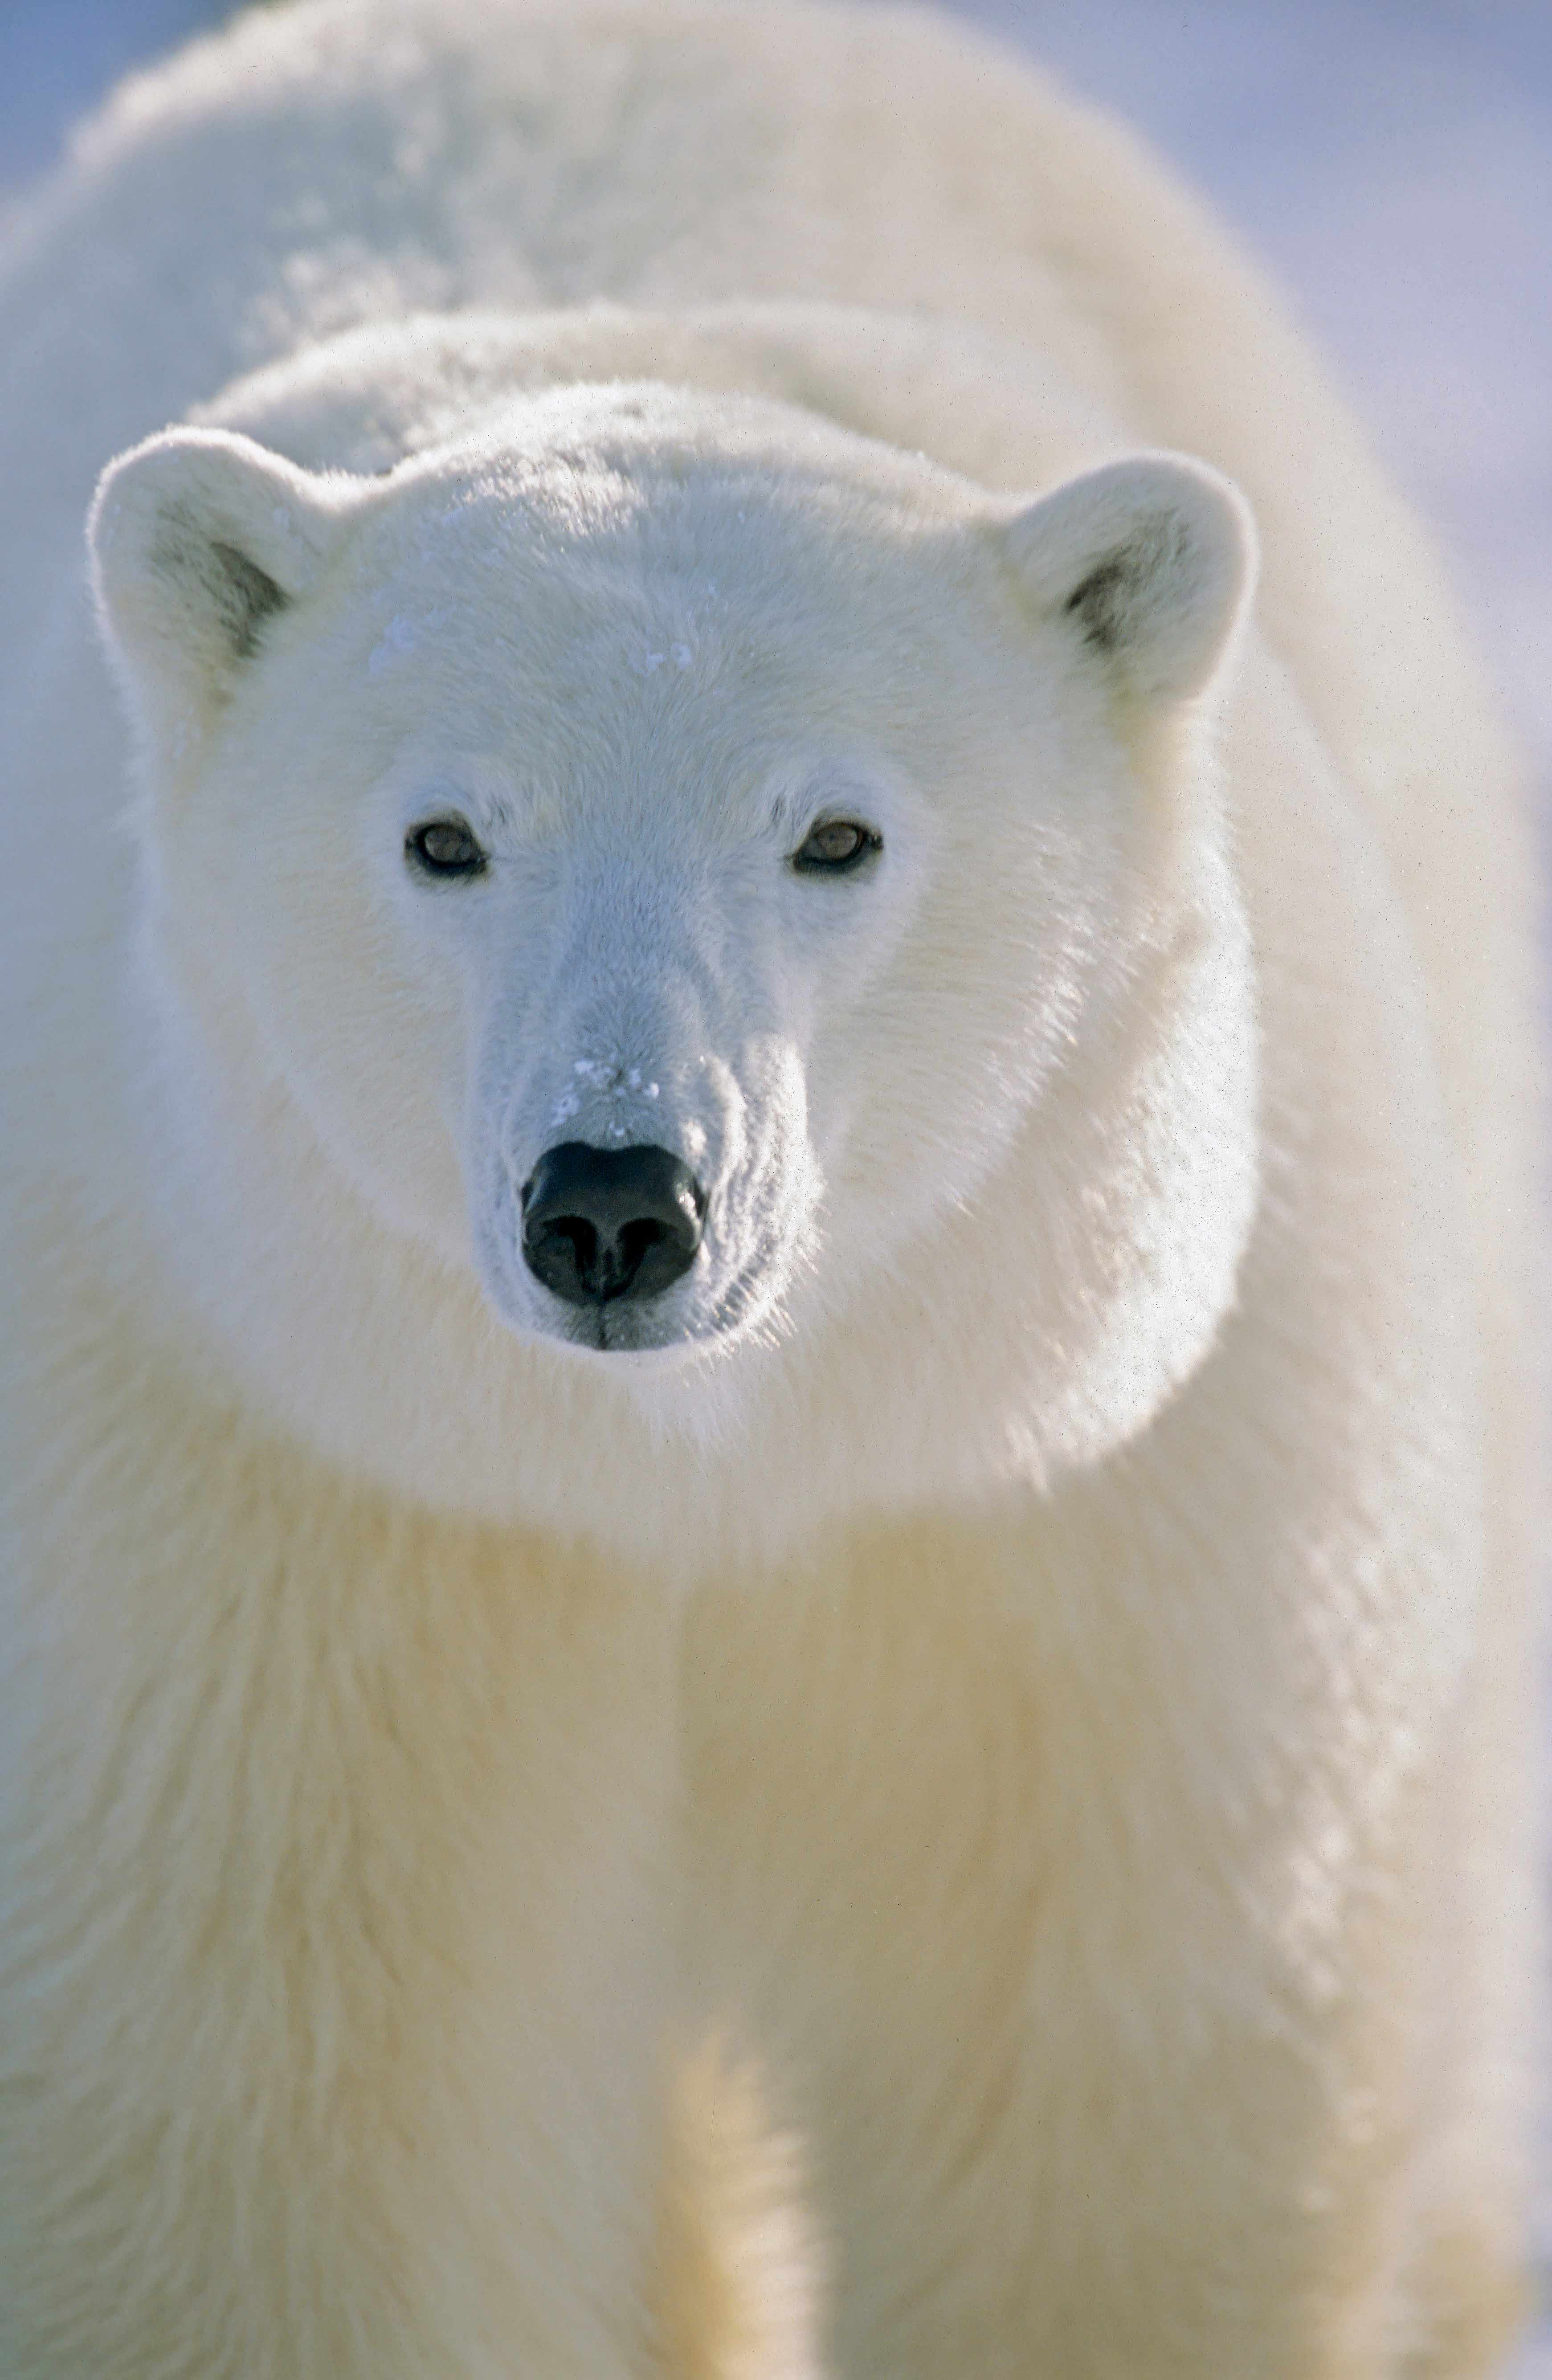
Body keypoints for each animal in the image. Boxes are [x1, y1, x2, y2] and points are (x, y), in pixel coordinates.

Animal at [0, 0, 1541, 2374]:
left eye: (834, 833)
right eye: (447, 834)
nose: (619, 1198)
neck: (703, 1465)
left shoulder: (1084, 1533)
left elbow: (1088, 2131)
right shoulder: (262, 1489)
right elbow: (293, 2143)